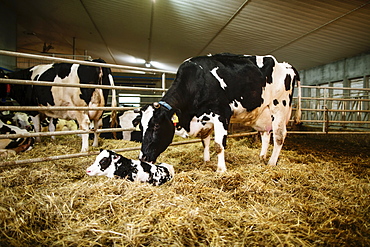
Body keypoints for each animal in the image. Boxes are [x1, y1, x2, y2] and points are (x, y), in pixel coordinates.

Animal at [137, 53, 300, 172]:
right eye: (141, 127)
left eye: (156, 126)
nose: (142, 158)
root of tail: (285, 64)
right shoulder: (204, 119)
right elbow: (205, 142)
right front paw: (206, 160)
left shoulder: (221, 114)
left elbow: (219, 145)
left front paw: (221, 169)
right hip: (263, 113)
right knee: (266, 134)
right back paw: (261, 157)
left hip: (279, 108)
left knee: (279, 136)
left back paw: (272, 163)